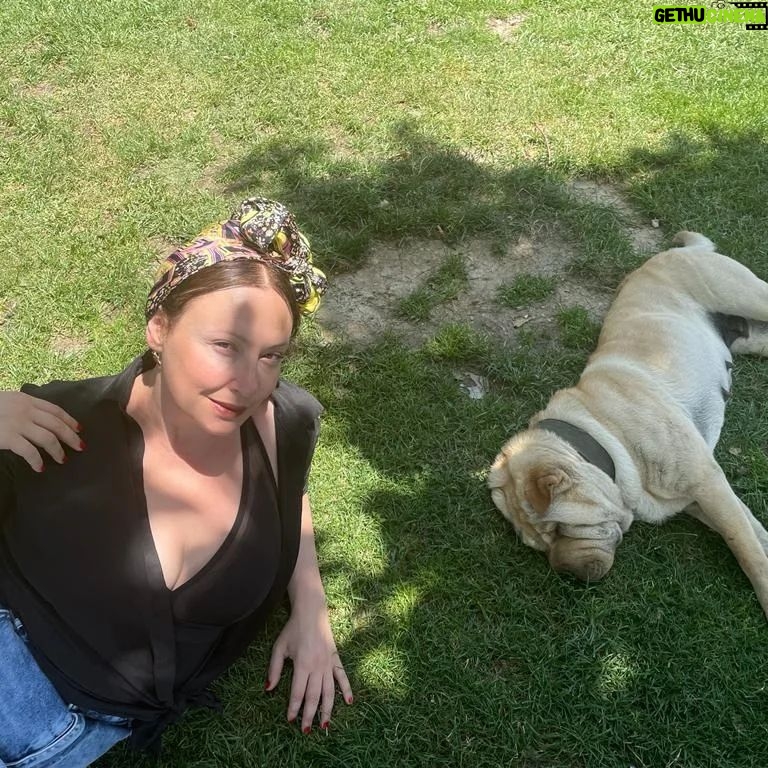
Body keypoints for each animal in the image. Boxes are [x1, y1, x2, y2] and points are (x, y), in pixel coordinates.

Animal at [488, 231, 768, 618]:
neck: (603, 433)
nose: (566, 574)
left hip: (745, 294)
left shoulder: (706, 481)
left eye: (559, 529)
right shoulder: (701, 496)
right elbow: (749, 527)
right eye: (538, 546)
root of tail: (681, 250)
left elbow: (745, 547)